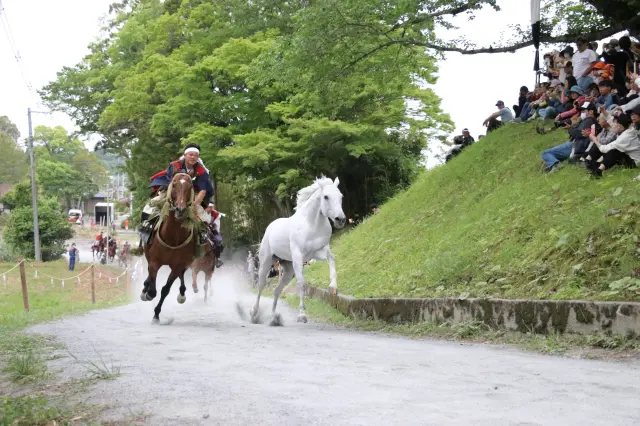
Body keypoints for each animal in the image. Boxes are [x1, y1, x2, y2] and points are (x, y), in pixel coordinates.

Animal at [140, 172, 201, 324]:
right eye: (173, 185)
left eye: (190, 187)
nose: (180, 209)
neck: (173, 237)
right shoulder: (155, 261)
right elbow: (153, 288)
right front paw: (148, 292)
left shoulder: (178, 265)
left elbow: (165, 289)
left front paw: (156, 314)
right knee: (149, 276)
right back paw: (145, 288)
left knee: (181, 276)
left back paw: (182, 293)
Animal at [250, 175, 346, 326]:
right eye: (326, 197)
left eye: (341, 196)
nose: (340, 220)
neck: (311, 225)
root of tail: (269, 227)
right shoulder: (298, 257)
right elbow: (302, 284)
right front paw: (302, 315)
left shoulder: (317, 252)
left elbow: (331, 258)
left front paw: (332, 287)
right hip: (266, 263)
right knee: (260, 286)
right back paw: (254, 314)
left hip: (288, 270)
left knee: (277, 290)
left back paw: (273, 317)